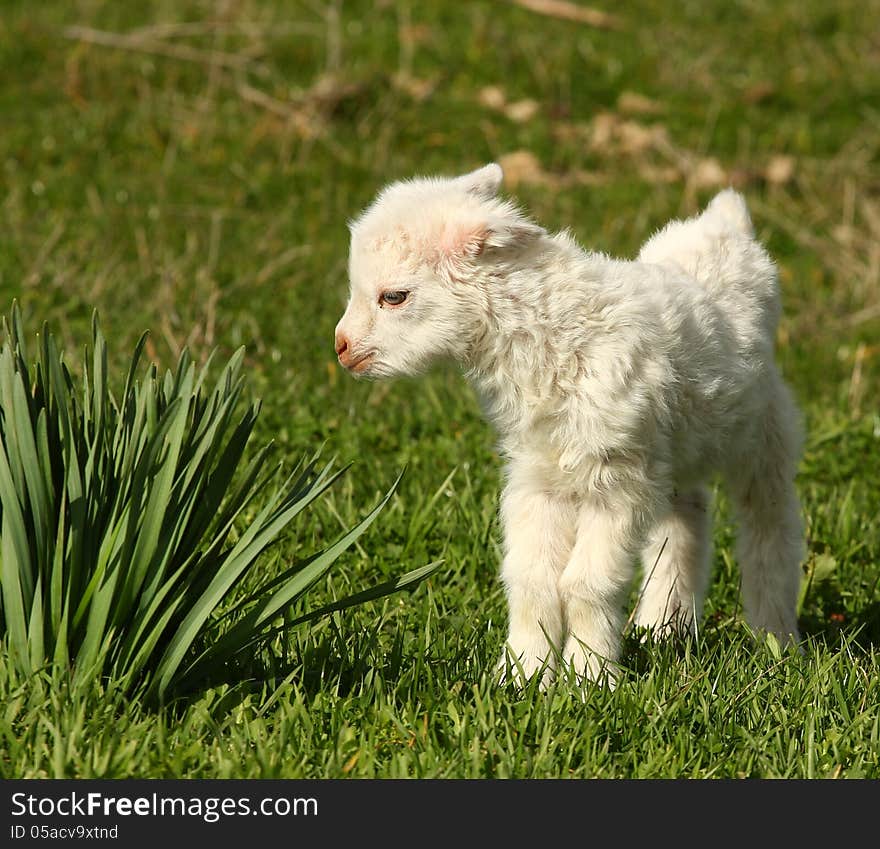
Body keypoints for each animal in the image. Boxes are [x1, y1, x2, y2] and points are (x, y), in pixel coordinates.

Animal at [336, 162, 804, 684]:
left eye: (394, 297)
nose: (341, 347)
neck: (554, 336)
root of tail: (727, 225)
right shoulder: (538, 476)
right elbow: (531, 580)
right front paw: (522, 675)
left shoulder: (615, 479)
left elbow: (586, 584)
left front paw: (590, 679)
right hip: (676, 448)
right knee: (685, 520)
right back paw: (664, 628)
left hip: (765, 430)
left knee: (770, 526)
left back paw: (776, 642)